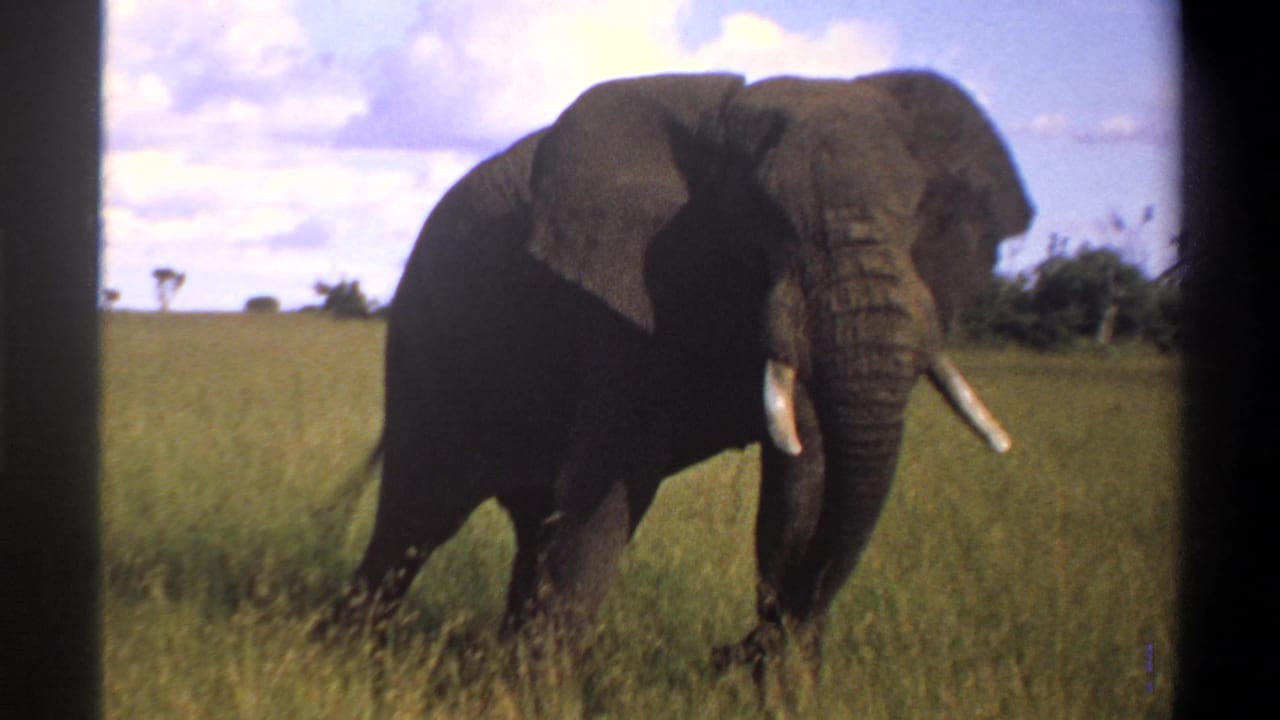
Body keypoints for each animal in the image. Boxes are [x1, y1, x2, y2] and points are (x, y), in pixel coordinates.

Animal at [315, 70, 1032, 678]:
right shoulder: (621, 300)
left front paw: (785, 688)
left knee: (525, 521)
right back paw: (346, 656)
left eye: (920, 216)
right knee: (418, 517)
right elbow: (613, 488)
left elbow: (804, 483)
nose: (727, 654)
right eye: (764, 217)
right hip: (429, 341)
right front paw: (539, 696)